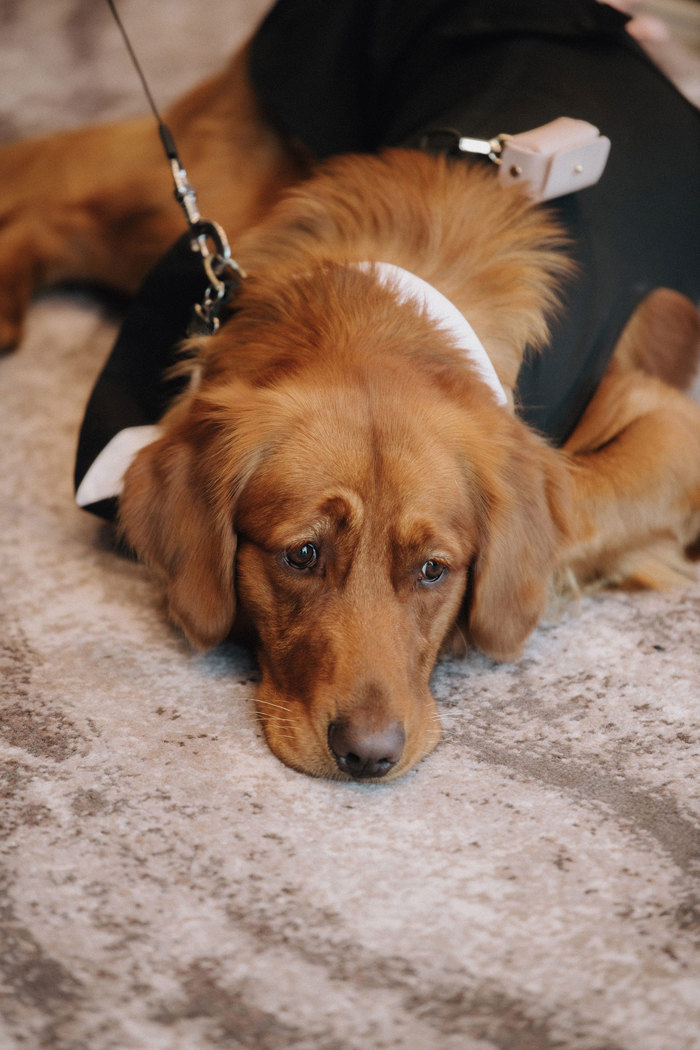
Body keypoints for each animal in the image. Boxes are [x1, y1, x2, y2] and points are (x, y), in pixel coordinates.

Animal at [1, 34, 700, 781]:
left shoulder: (669, 423)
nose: (368, 756)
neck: (378, 305)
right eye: (302, 555)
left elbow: (578, 506)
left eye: (433, 570)